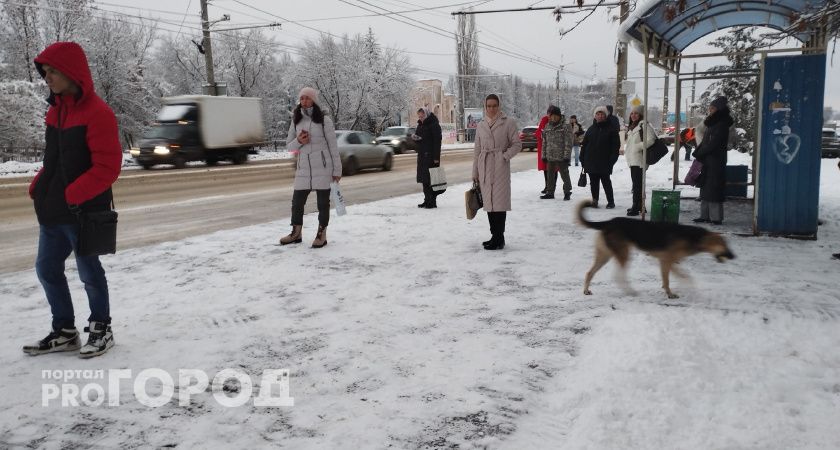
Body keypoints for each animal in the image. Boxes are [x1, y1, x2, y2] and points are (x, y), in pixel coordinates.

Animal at [576, 200, 736, 298]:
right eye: (723, 244)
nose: (733, 256)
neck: (693, 237)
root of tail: (608, 222)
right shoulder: (666, 261)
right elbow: (674, 279)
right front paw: (671, 294)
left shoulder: (668, 262)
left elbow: (678, 277)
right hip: (623, 254)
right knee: (618, 276)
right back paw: (630, 291)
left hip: (605, 255)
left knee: (589, 272)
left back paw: (586, 290)